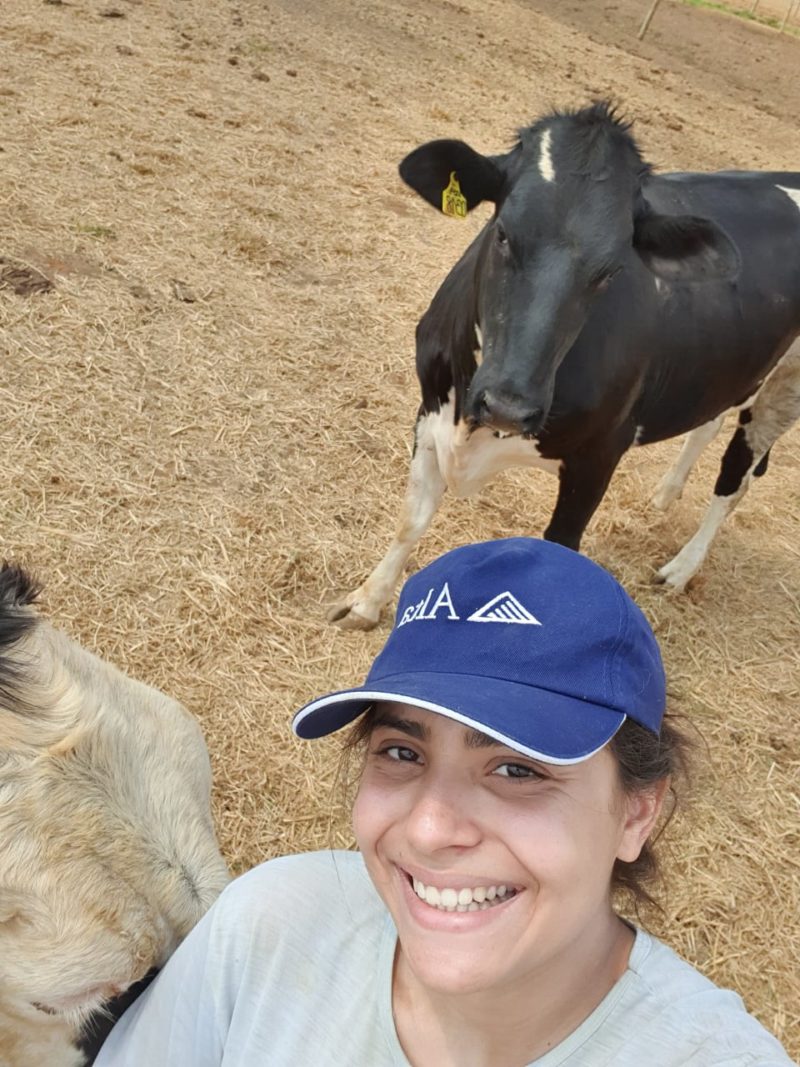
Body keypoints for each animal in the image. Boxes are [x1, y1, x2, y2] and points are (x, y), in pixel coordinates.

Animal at [328, 102, 800, 631]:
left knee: (734, 477)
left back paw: (680, 568)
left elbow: (561, 548)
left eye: (612, 270)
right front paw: (365, 602)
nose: (509, 406)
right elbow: (412, 517)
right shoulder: (432, 404)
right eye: (503, 233)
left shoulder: (600, 454)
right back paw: (665, 493)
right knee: (712, 424)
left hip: (786, 387)